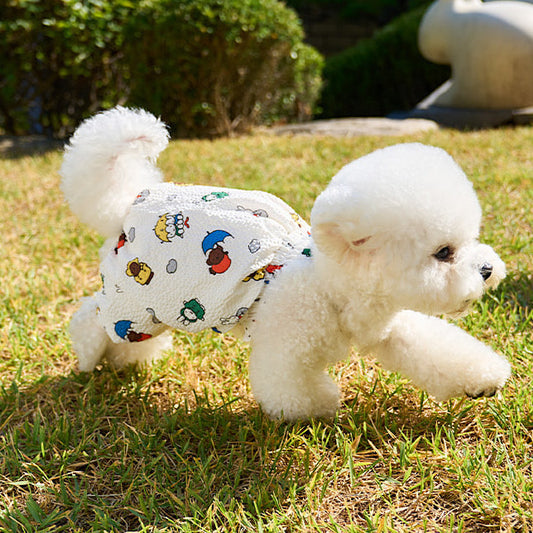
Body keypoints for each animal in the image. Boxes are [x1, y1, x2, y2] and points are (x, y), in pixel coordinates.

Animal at [59, 107, 512, 420]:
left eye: (470, 240)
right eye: (444, 252)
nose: (488, 270)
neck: (333, 289)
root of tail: (127, 203)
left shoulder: (391, 329)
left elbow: (437, 349)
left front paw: (482, 381)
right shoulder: (286, 346)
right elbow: (289, 387)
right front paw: (320, 406)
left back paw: (126, 359)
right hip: (139, 299)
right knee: (91, 316)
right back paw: (88, 356)